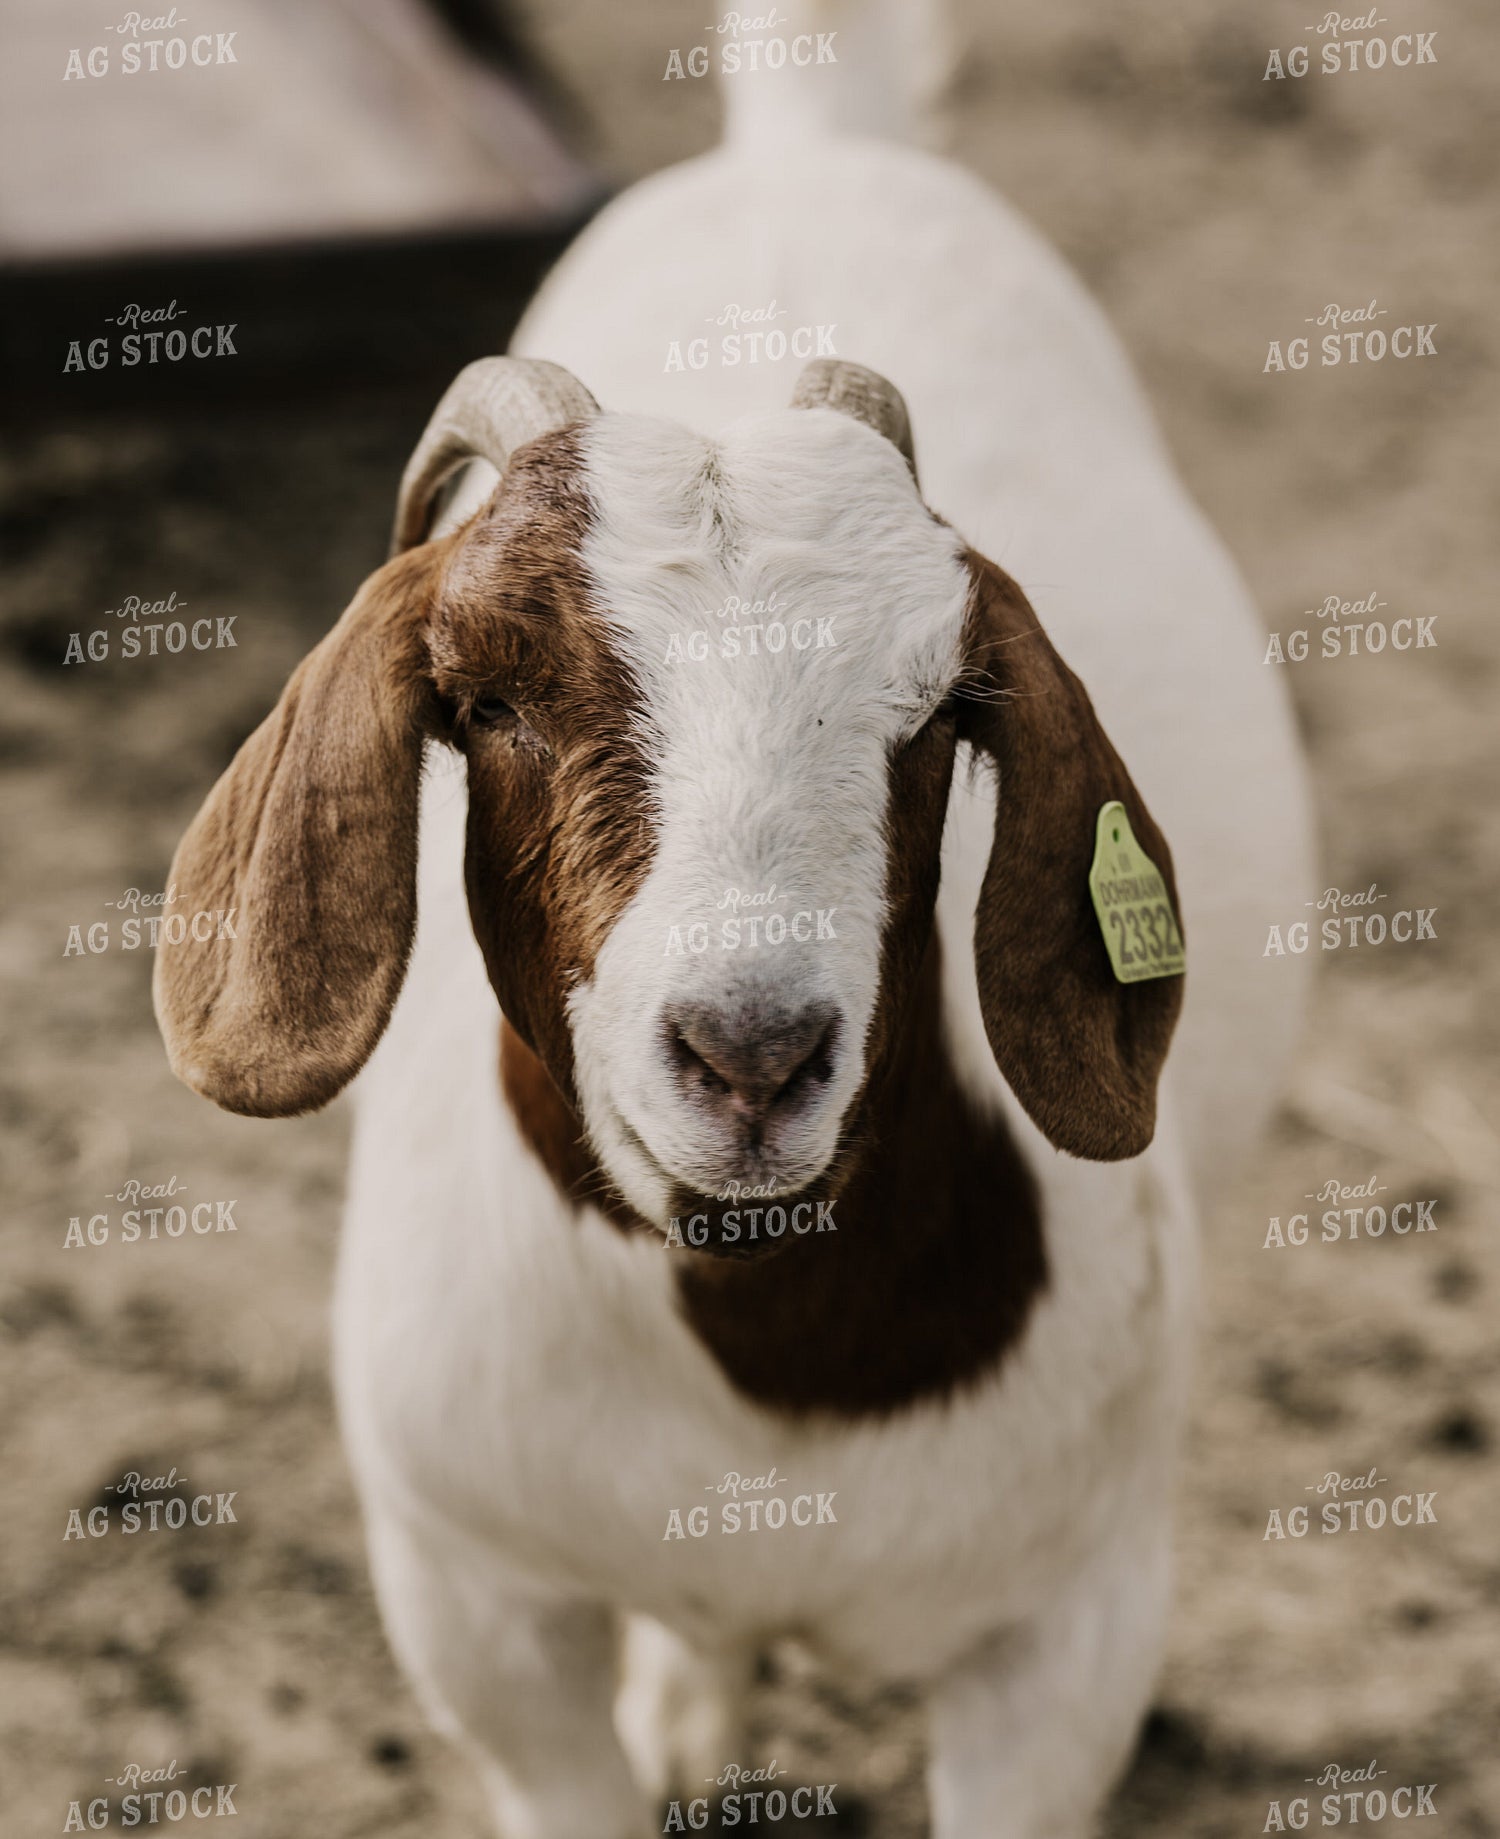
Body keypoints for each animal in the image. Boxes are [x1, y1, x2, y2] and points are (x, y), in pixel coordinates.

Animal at [154, 22, 1314, 1839]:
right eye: (486, 697)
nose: (751, 1052)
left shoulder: (1070, 1634)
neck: (767, 1376)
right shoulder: (474, 1601)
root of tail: (802, 136)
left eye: (943, 711)